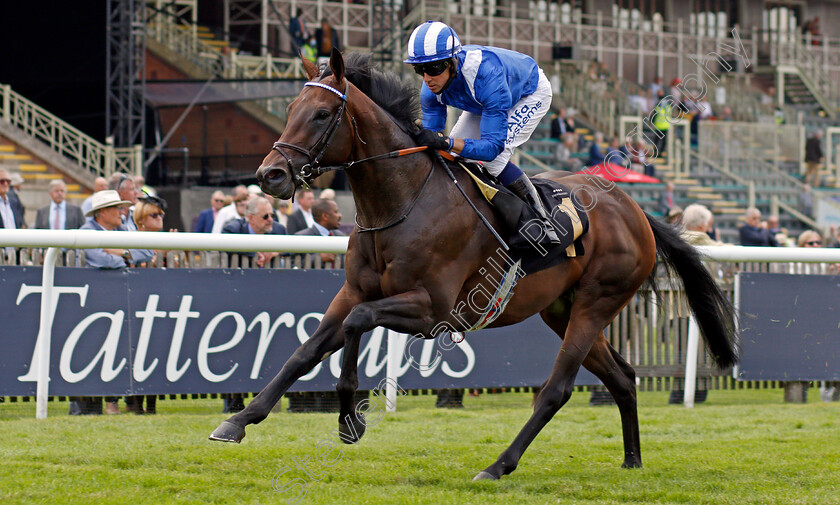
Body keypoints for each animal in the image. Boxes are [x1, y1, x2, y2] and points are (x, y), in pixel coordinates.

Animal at [210, 51, 736, 480]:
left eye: (321, 114)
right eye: (290, 111)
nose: (270, 174)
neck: (401, 201)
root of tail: (637, 211)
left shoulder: (433, 310)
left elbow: (357, 326)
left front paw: (349, 417)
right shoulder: (354, 292)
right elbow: (305, 351)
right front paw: (238, 420)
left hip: (596, 301)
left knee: (557, 389)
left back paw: (499, 465)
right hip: (560, 309)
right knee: (623, 377)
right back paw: (632, 459)